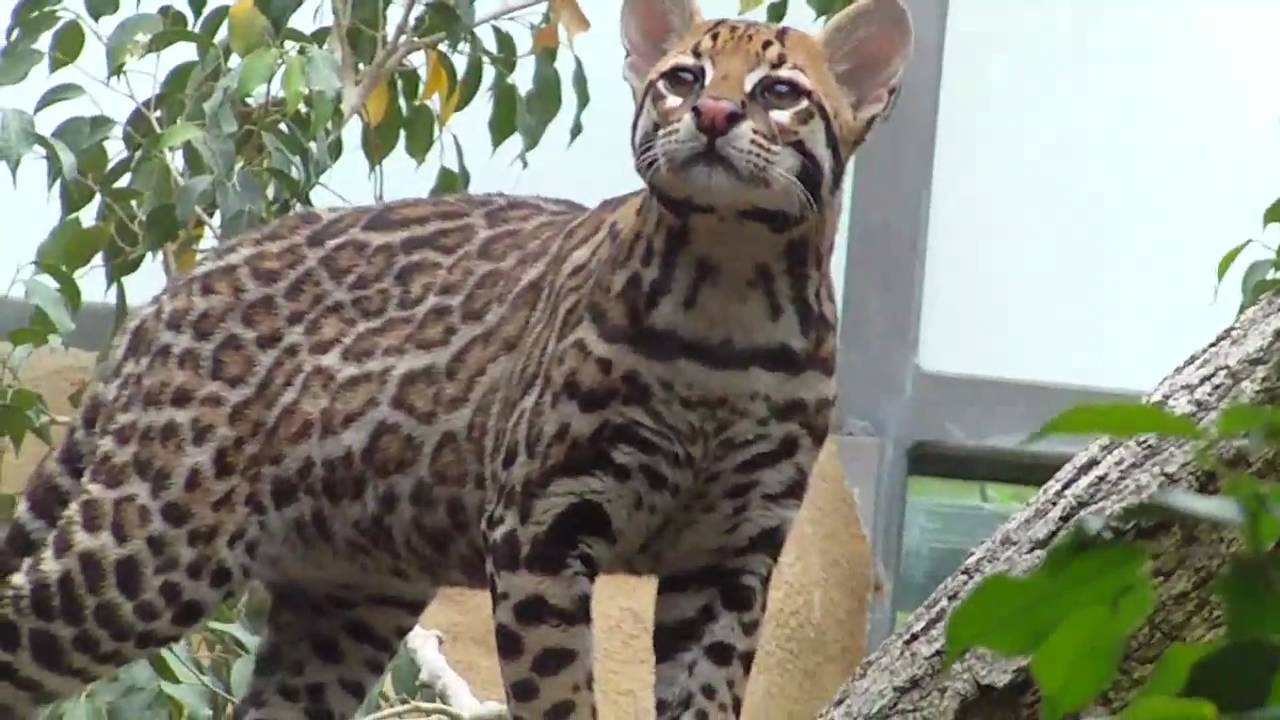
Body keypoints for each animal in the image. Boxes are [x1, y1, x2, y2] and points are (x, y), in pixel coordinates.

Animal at [0, 0, 913, 717]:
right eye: (683, 79)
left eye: (780, 93)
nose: (716, 115)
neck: (730, 290)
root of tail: (177, 290)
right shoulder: (542, 526)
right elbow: (559, 696)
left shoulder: (732, 556)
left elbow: (708, 695)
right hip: (148, 541)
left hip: (343, 600)